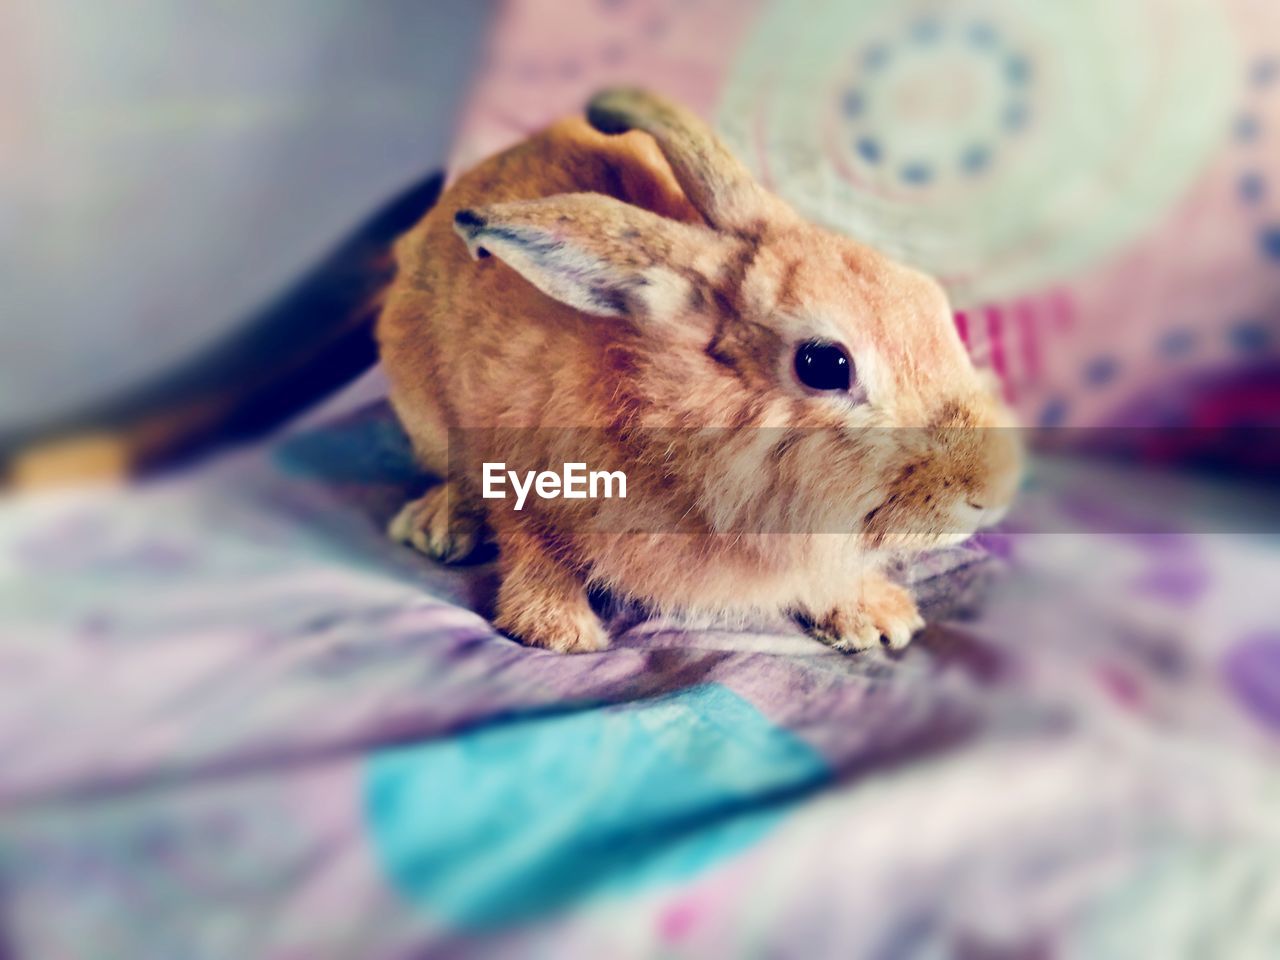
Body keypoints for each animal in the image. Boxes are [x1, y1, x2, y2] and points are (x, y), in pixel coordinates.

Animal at [373, 88, 1018, 655]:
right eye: (824, 364)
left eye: (929, 296)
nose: (991, 493)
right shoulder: (512, 462)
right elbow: (528, 539)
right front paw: (556, 627)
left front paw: (876, 617)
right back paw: (438, 526)